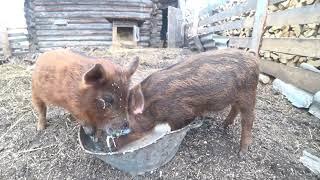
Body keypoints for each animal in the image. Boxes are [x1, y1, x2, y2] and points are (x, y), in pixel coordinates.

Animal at [111, 48, 258, 155]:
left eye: (127, 124)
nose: (112, 147)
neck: (153, 104)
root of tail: (254, 59)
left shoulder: (181, 114)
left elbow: (175, 128)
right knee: (235, 108)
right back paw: (224, 125)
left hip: (249, 93)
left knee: (249, 119)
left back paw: (242, 153)